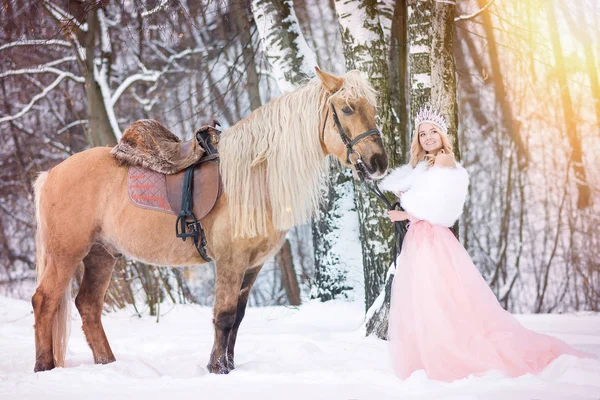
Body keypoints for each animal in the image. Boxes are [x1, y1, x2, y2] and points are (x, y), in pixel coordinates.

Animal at [30, 66, 390, 376]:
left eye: (373, 108)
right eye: (347, 108)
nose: (378, 163)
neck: (255, 175)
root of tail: (50, 174)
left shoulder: (253, 264)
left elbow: (238, 318)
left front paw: (228, 366)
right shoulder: (231, 260)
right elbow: (224, 316)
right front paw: (217, 369)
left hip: (102, 255)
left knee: (88, 306)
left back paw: (108, 364)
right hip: (66, 254)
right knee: (44, 301)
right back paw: (45, 367)